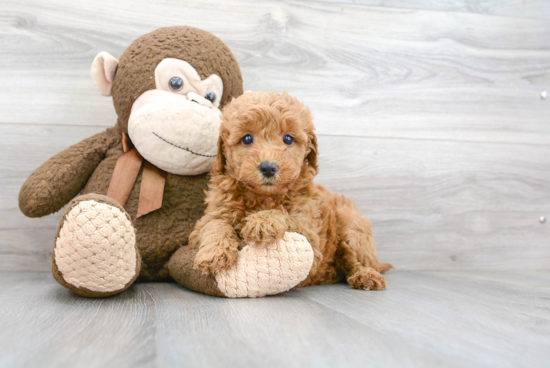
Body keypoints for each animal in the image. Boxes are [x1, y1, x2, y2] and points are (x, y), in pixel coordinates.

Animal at [192, 91, 394, 290]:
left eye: (288, 139)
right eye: (247, 138)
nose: (268, 167)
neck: (262, 198)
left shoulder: (311, 236)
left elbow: (286, 216)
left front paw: (262, 222)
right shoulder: (210, 216)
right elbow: (215, 224)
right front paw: (214, 254)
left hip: (351, 223)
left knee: (357, 258)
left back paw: (366, 275)